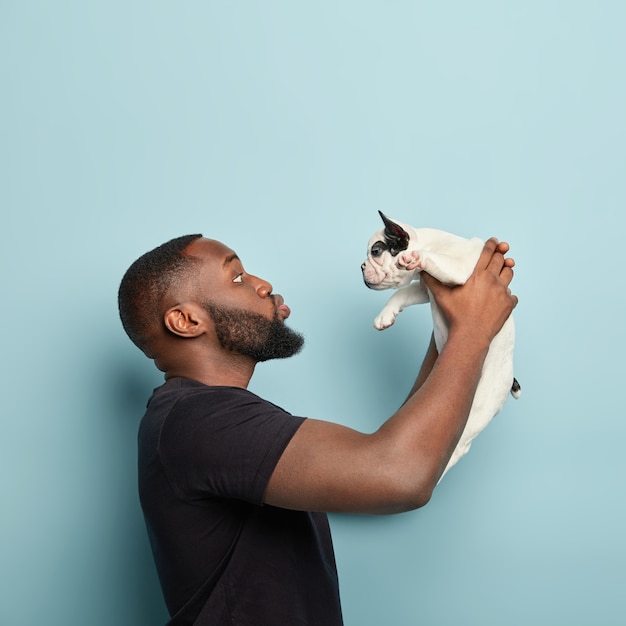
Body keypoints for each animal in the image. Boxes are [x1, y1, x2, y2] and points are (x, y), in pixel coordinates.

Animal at [360, 210, 516, 478]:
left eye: (376, 251)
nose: (361, 266)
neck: (430, 242)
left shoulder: (460, 268)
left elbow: (430, 260)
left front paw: (416, 257)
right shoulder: (423, 289)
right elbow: (401, 293)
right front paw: (386, 314)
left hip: (476, 411)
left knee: (457, 447)